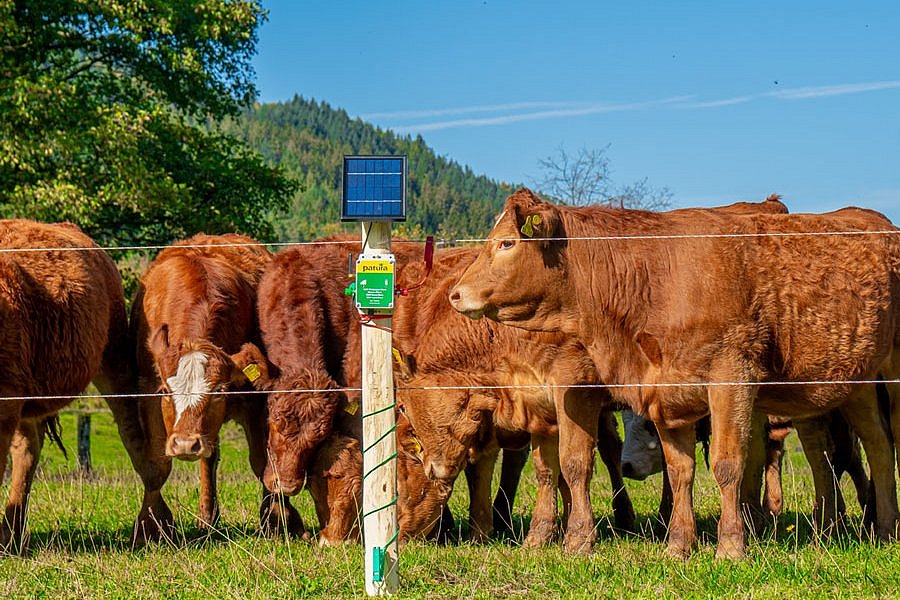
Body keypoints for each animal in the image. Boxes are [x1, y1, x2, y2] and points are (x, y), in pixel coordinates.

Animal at [130, 232, 300, 540]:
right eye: (166, 392)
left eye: (219, 392)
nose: (186, 443)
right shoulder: (147, 391)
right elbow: (158, 465)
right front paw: (151, 525)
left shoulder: (254, 400)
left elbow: (263, 461)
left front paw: (277, 519)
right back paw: (207, 517)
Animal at [450, 189, 900, 556]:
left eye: (506, 243)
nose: (456, 294)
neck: (654, 279)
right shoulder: (667, 391)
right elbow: (680, 470)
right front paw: (679, 545)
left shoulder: (732, 378)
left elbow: (727, 464)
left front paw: (730, 548)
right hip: (857, 383)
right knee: (878, 446)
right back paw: (884, 528)